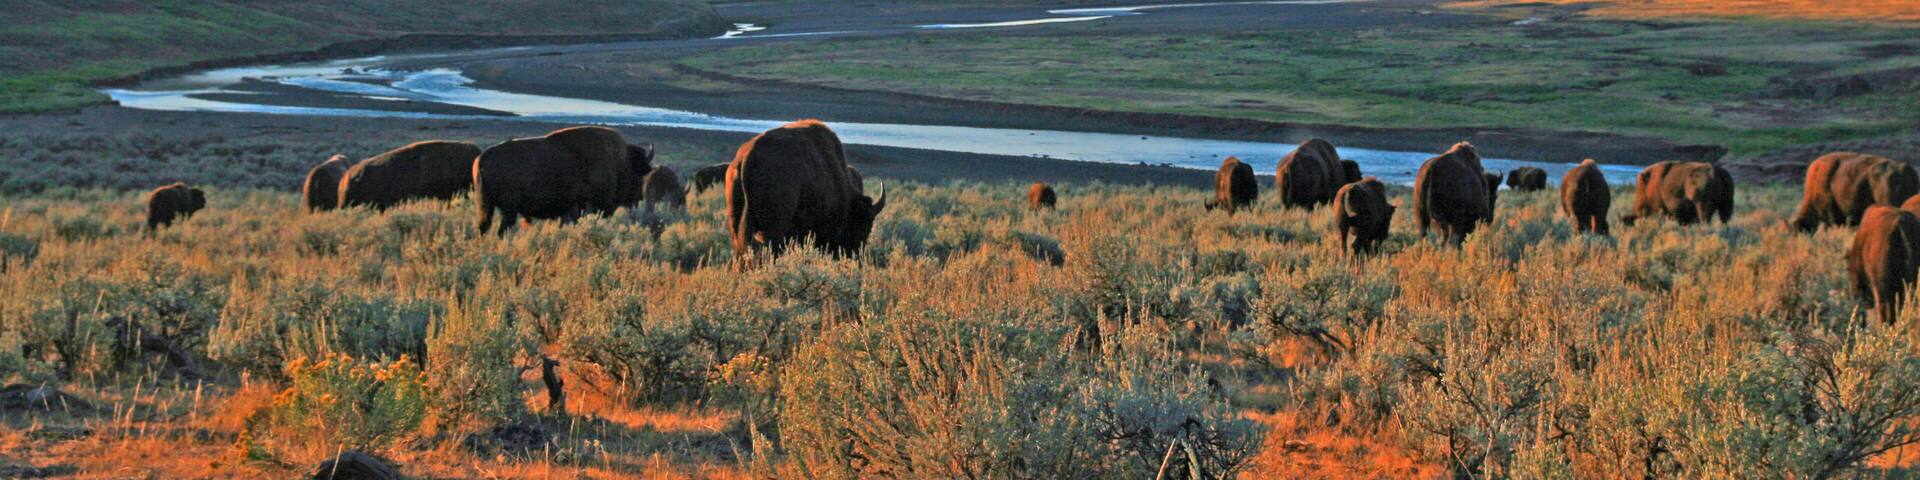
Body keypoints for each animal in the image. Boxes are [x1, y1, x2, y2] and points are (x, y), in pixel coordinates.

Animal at [474, 126, 654, 234]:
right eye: (639, 174)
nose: (639, 197)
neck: (620, 163)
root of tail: (482, 157)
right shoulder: (584, 207)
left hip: (487, 206)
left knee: (484, 227)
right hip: (509, 210)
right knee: (501, 229)